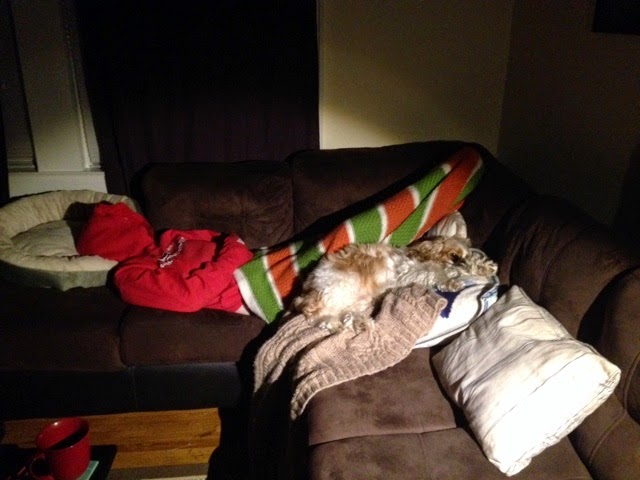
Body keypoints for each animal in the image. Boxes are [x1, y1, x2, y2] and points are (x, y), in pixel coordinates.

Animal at [291, 235, 497, 333]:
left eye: (465, 256)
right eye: (453, 255)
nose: (461, 263)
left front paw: (483, 266)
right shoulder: (409, 271)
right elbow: (435, 271)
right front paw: (450, 281)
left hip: (359, 299)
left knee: (345, 313)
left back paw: (360, 323)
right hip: (341, 286)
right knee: (316, 314)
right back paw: (334, 325)